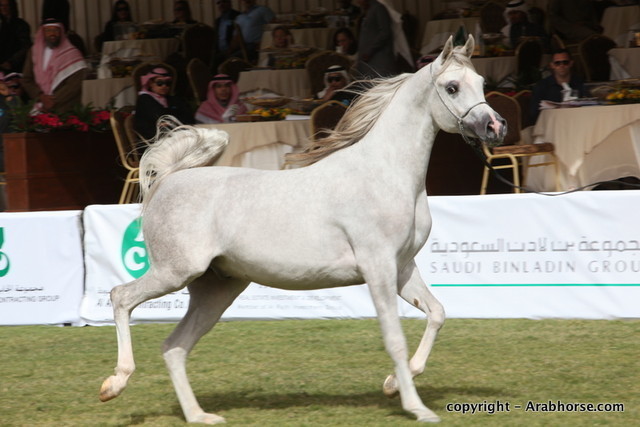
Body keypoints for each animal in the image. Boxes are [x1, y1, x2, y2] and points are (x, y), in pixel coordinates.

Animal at [99, 35, 506, 424]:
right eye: (452, 87)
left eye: (482, 83)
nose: (495, 127)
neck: (385, 173)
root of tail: (168, 179)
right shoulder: (378, 269)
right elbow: (394, 339)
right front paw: (417, 408)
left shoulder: (402, 268)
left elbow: (437, 313)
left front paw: (393, 385)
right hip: (176, 272)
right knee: (121, 297)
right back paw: (114, 384)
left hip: (216, 289)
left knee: (174, 347)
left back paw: (200, 416)